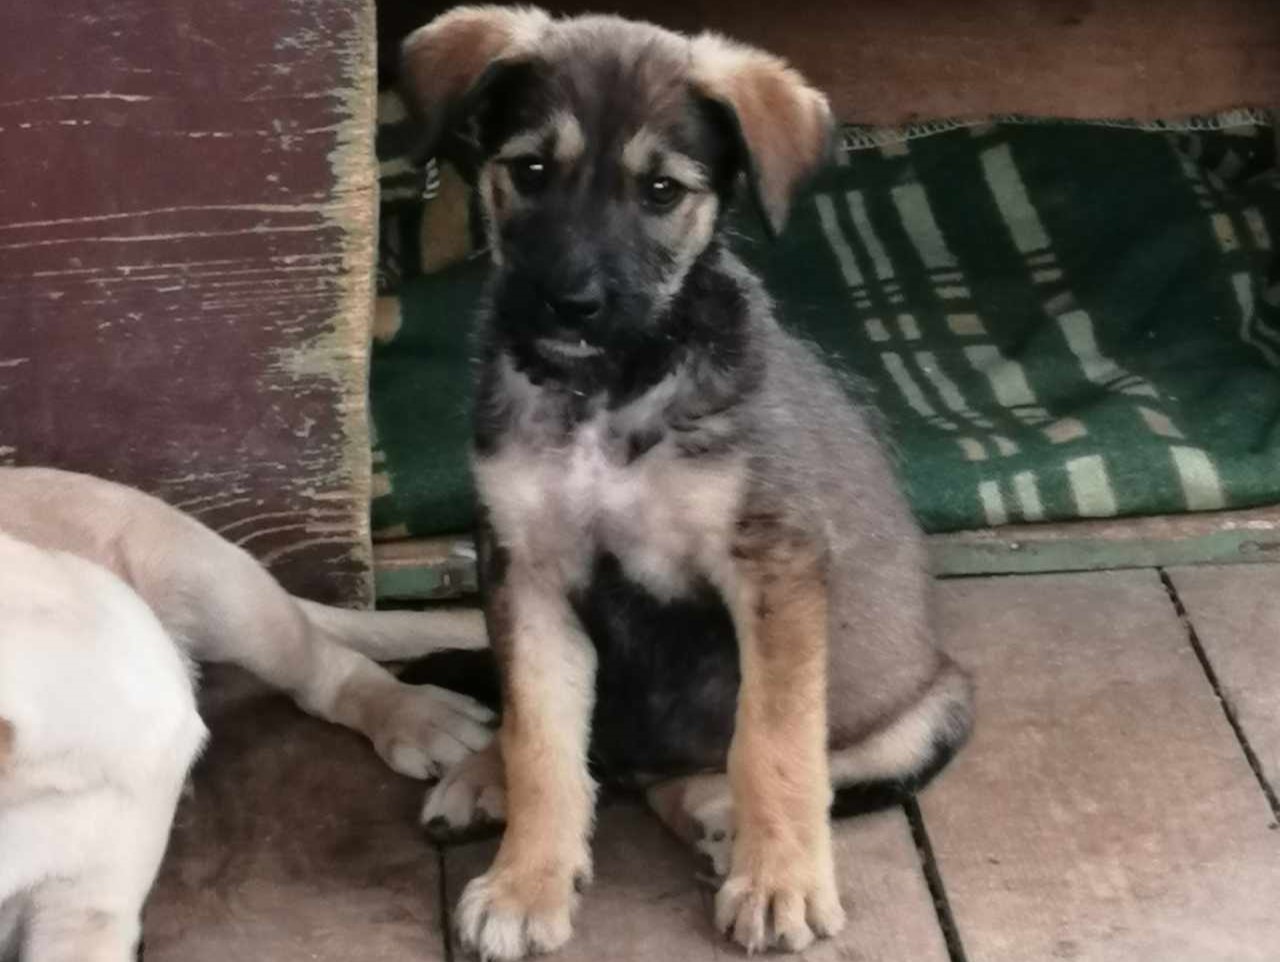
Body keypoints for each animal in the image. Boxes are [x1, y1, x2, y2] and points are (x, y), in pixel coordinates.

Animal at [404, 9, 972, 961]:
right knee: (587, 754)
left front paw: (779, 882)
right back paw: (492, 777)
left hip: (933, 710)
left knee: (770, 771)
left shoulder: (773, 566)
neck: (607, 391)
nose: (571, 305)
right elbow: (543, 739)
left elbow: (773, 741)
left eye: (662, 191)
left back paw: (718, 813)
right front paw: (527, 882)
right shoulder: (526, 572)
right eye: (530, 170)